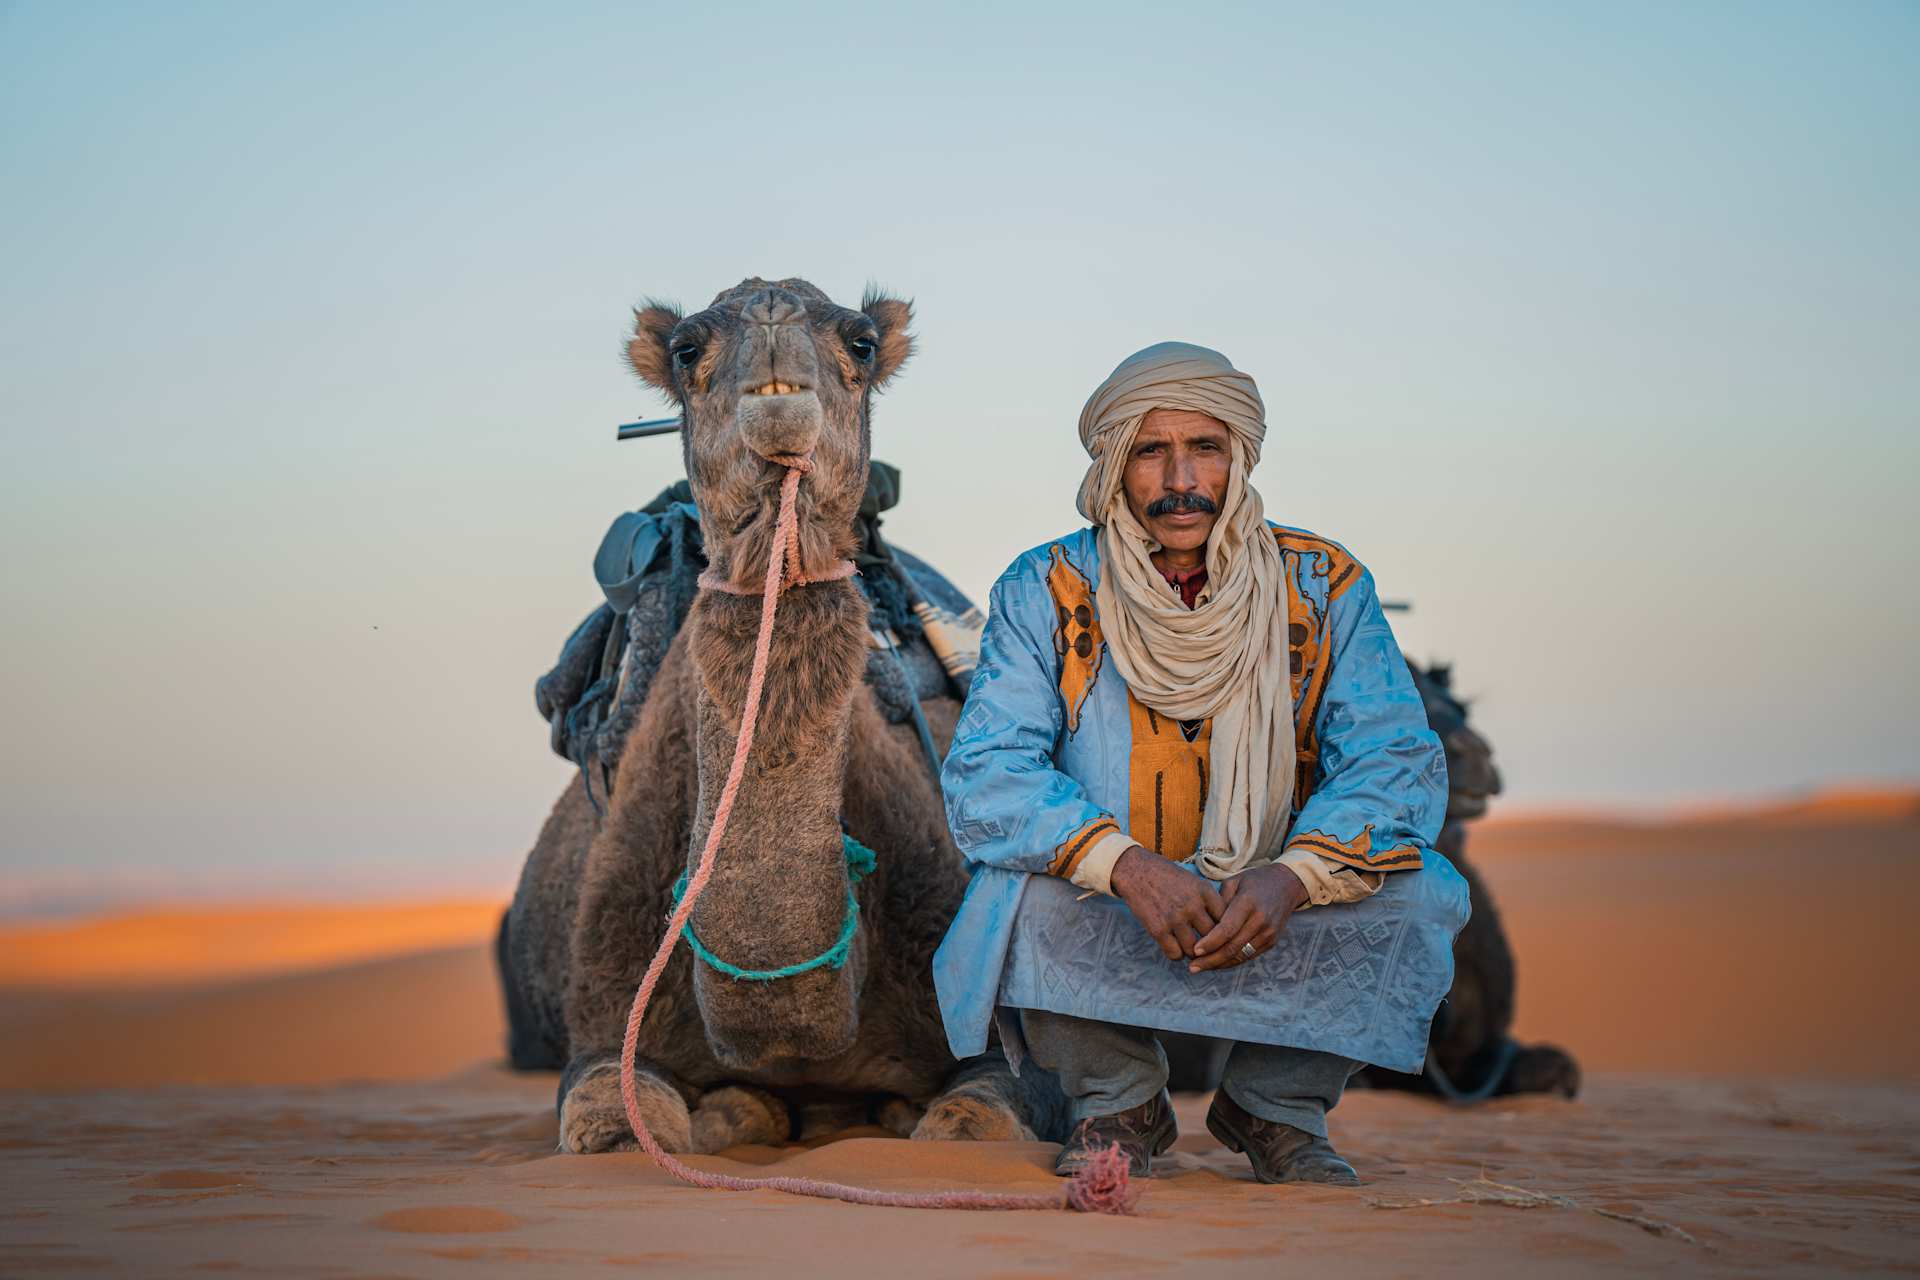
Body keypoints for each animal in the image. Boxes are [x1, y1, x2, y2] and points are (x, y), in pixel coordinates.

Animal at [499, 278, 1063, 1155]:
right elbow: (614, 1128)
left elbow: (965, 1128)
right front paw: (737, 1111)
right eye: (687, 348)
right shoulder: (603, 1023)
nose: (771, 312)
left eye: (861, 341)